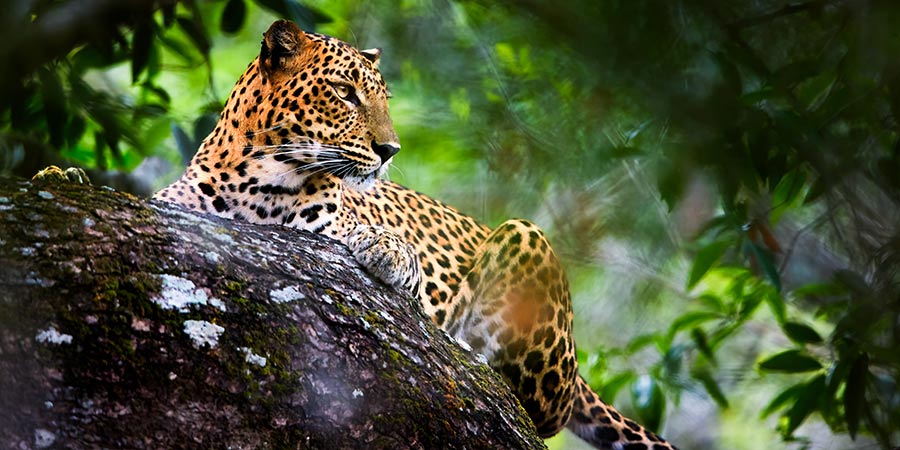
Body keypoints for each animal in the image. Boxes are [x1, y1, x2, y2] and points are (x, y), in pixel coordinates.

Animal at [151, 19, 677, 449]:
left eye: (384, 99)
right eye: (344, 92)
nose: (390, 150)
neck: (254, 177)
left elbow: (367, 241)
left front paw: (389, 250)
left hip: (526, 238)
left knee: (543, 409)